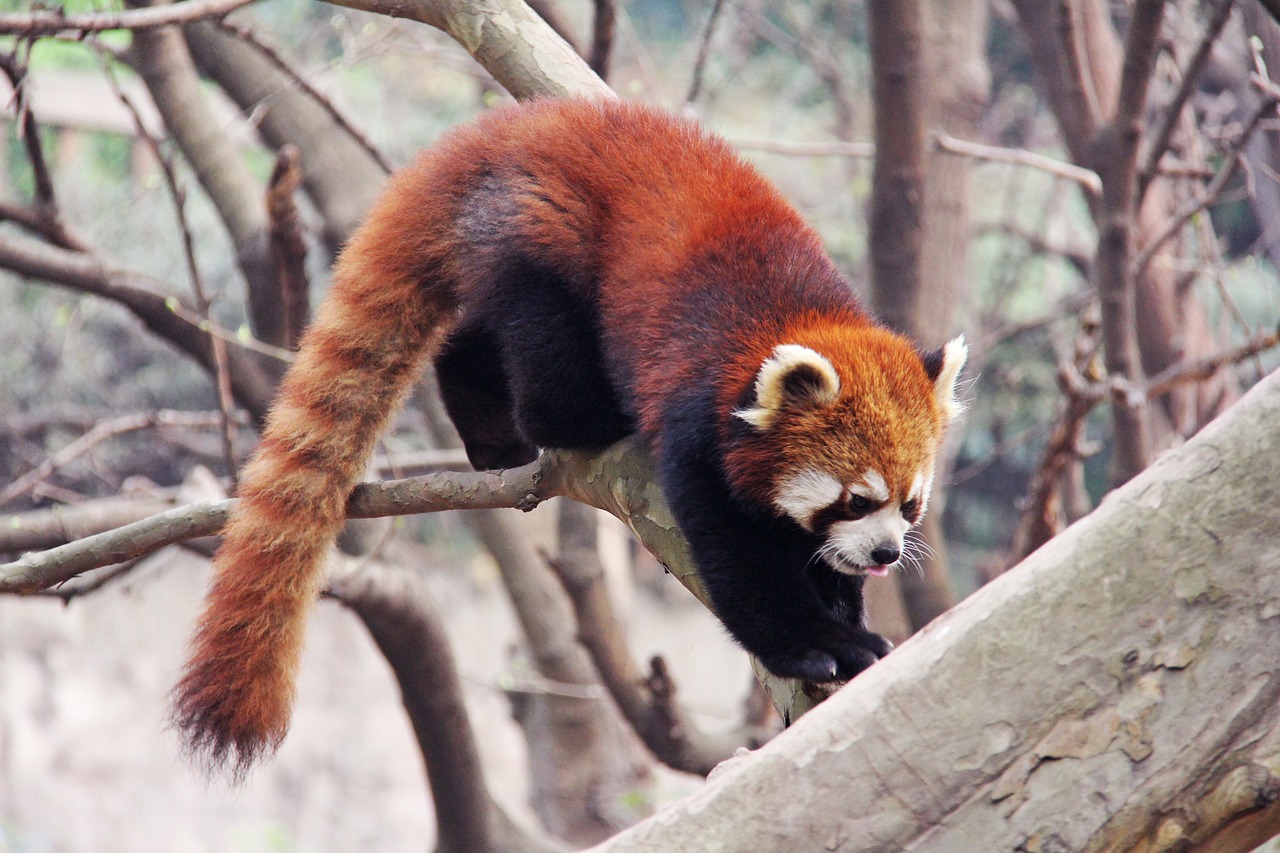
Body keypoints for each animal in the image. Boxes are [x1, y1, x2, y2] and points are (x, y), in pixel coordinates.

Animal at [175, 96, 962, 768]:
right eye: (857, 499)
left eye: (910, 504)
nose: (888, 553)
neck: (796, 317)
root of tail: (509, 128)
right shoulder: (698, 416)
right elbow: (741, 557)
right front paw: (815, 646)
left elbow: (813, 555)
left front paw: (847, 613)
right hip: (543, 233)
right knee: (542, 342)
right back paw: (580, 416)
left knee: (470, 339)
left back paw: (490, 433)